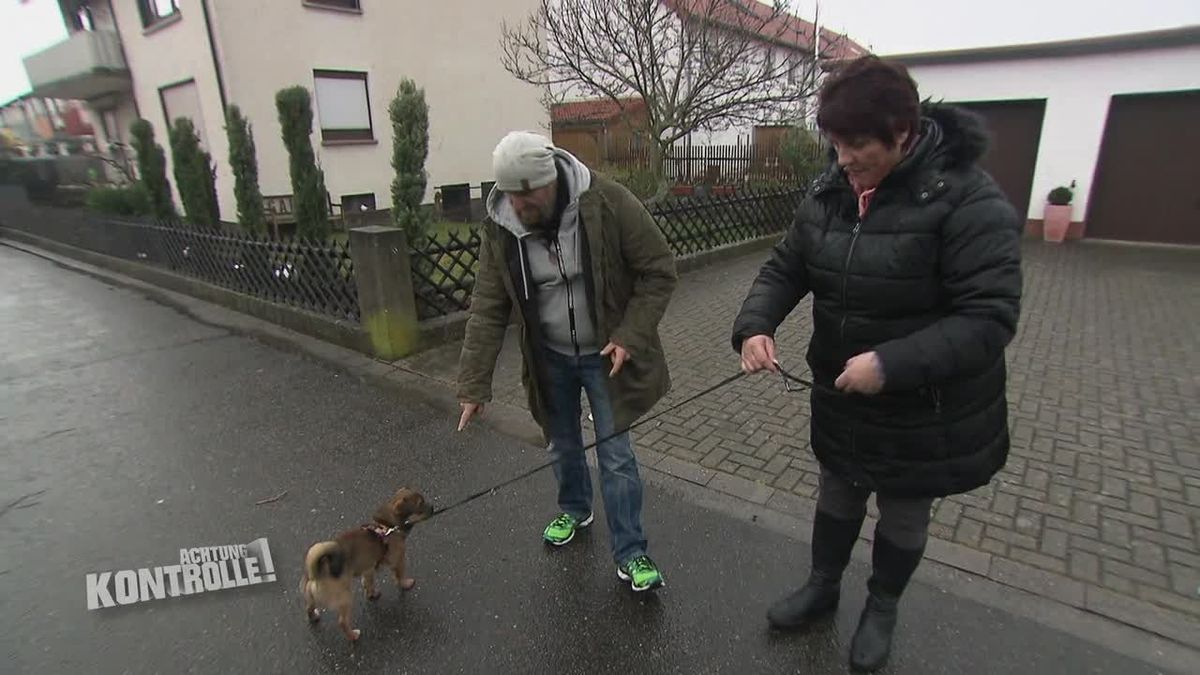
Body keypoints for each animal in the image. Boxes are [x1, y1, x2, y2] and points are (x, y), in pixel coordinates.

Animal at [300, 485, 436, 638]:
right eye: (420, 504)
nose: (432, 507)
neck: (388, 526)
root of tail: (317, 572)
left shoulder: (368, 569)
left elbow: (368, 583)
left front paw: (372, 594)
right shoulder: (398, 560)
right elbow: (400, 576)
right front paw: (406, 584)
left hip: (311, 598)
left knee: (309, 608)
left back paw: (314, 617)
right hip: (345, 598)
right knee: (342, 621)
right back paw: (353, 635)